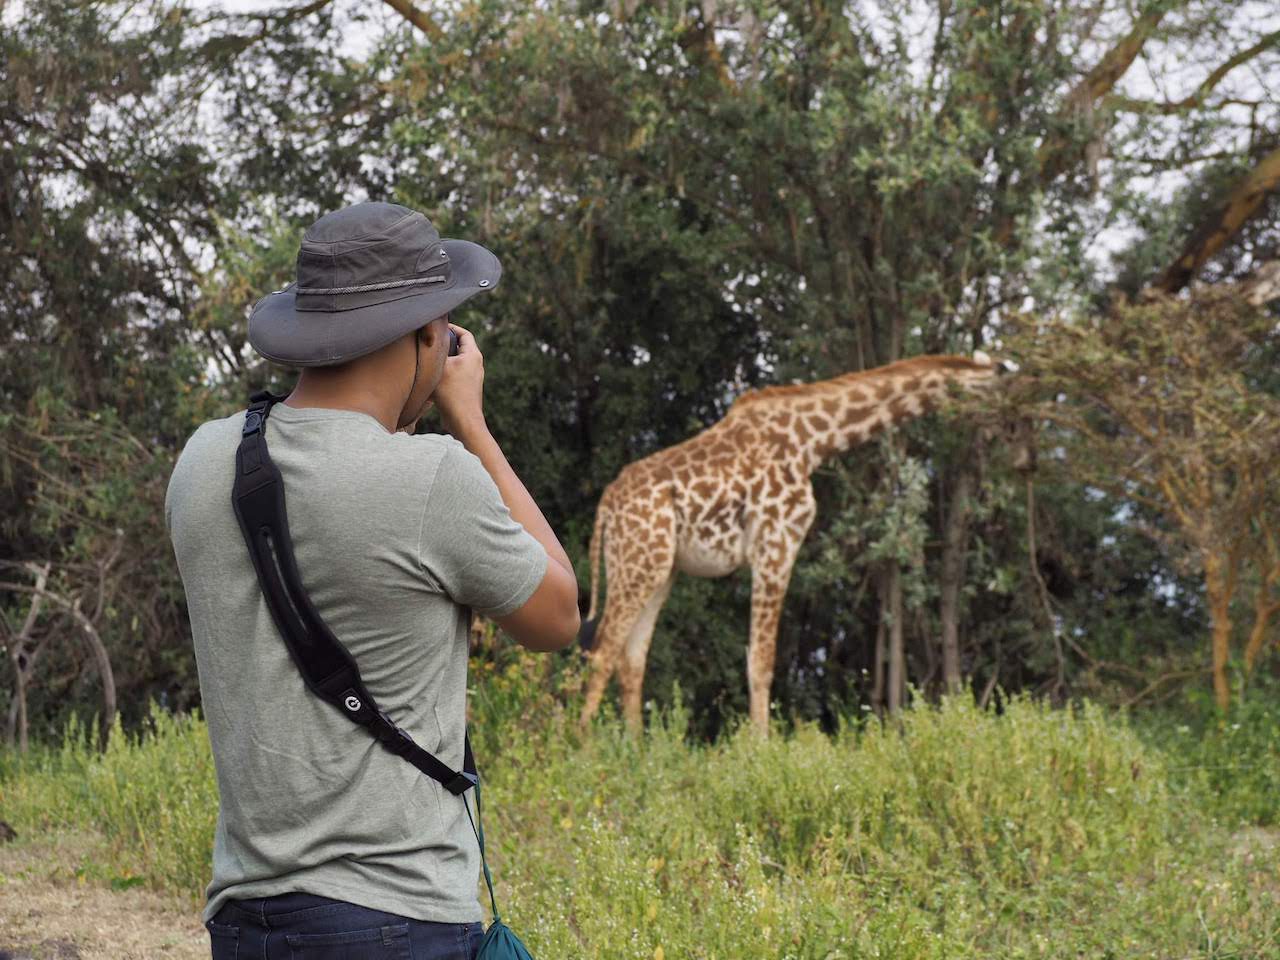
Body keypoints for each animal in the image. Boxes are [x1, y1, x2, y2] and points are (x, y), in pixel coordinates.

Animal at [578, 353, 1008, 737]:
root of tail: (605, 509)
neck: (813, 441)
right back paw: (582, 748)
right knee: (601, 652)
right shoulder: (777, 543)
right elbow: (761, 661)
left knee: (631, 660)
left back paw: (639, 751)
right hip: (639, 562)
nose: (998, 431)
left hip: (658, 568)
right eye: (1001, 382)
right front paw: (760, 750)